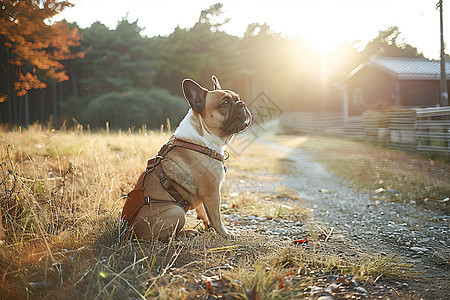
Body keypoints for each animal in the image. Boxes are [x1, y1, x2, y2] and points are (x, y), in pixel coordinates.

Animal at [126, 75, 251, 239]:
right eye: (225, 103)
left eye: (238, 98)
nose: (242, 104)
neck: (203, 137)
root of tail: (129, 230)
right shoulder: (212, 192)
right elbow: (216, 216)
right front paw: (225, 233)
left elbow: (204, 212)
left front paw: (208, 226)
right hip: (177, 211)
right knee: (168, 236)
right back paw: (186, 232)